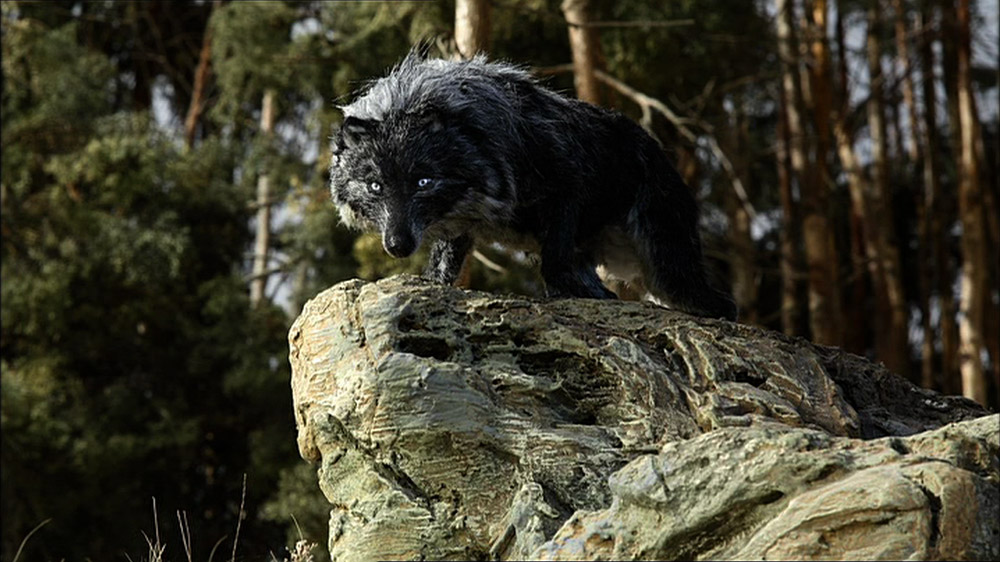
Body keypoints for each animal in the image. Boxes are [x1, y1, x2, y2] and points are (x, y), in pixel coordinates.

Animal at [330, 53, 737, 320]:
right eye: (375, 186)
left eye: (423, 182)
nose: (397, 246)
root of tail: (660, 152)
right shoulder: (459, 229)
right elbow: (443, 268)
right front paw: (429, 285)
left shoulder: (565, 191)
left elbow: (554, 265)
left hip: (669, 269)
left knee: (725, 306)